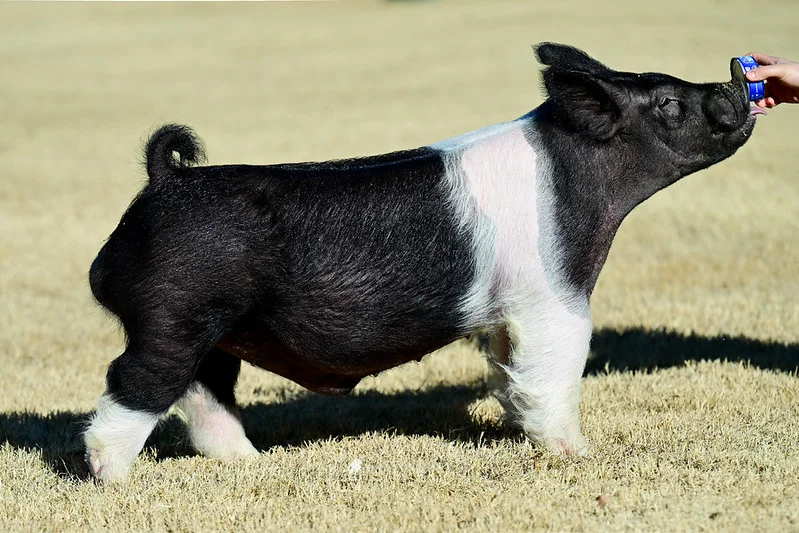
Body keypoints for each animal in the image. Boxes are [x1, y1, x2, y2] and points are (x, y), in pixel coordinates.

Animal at [84, 43, 761, 481]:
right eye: (668, 103)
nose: (735, 79)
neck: (582, 178)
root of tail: (164, 179)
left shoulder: (508, 313)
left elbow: (510, 374)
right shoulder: (553, 296)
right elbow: (556, 370)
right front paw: (579, 455)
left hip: (216, 330)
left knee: (206, 392)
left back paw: (251, 464)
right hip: (174, 316)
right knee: (134, 383)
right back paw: (114, 480)